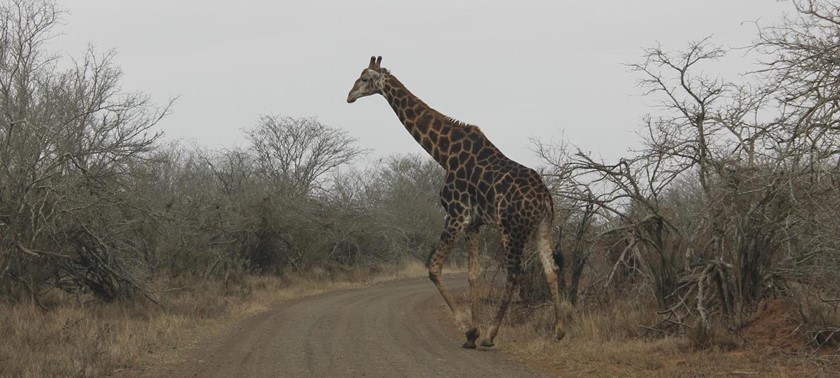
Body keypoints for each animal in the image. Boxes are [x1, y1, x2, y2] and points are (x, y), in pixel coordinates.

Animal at [344, 56, 568, 348]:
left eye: (364, 79)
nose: (349, 96)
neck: (444, 153)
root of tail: (544, 199)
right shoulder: (473, 223)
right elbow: (473, 275)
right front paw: (472, 333)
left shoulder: (456, 214)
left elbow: (434, 268)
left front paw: (471, 331)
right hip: (543, 226)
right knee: (551, 268)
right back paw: (559, 330)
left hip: (512, 229)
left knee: (515, 273)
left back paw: (492, 334)